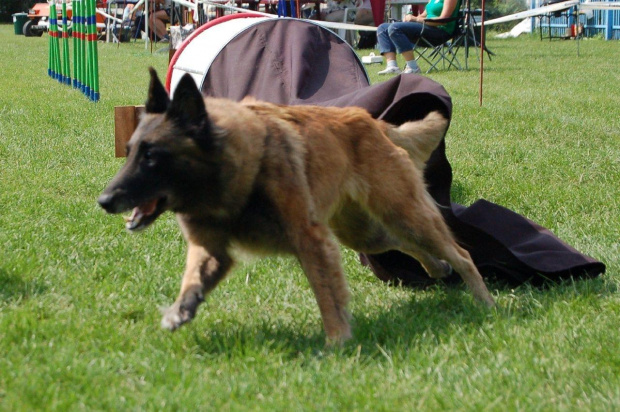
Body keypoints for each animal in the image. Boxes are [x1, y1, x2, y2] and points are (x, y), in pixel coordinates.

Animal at [98, 70, 494, 344]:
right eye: (129, 151)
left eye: (152, 156)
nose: (104, 201)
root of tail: (374, 122)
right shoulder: (211, 249)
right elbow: (192, 279)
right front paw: (180, 310)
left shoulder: (310, 241)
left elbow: (327, 295)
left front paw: (337, 342)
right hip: (366, 233)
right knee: (408, 245)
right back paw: (437, 268)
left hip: (402, 214)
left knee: (460, 252)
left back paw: (486, 302)